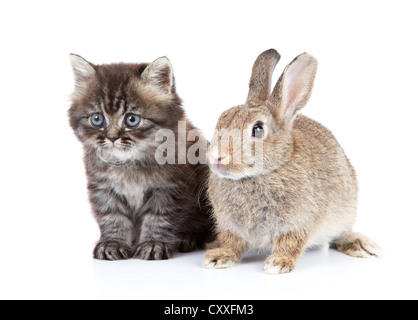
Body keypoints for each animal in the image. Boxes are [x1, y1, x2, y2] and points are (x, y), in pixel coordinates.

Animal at [69, 54, 214, 260]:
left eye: (132, 119)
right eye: (97, 119)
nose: (112, 138)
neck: (128, 163)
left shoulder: (169, 188)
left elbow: (158, 217)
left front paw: (153, 243)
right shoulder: (103, 188)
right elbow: (112, 216)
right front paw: (112, 243)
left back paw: (186, 239)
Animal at [204, 48, 380, 274]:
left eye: (258, 129)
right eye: (221, 119)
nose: (217, 156)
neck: (259, 174)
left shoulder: (297, 224)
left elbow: (290, 244)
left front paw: (277, 263)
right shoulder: (230, 227)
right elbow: (232, 244)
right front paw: (218, 257)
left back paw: (362, 245)